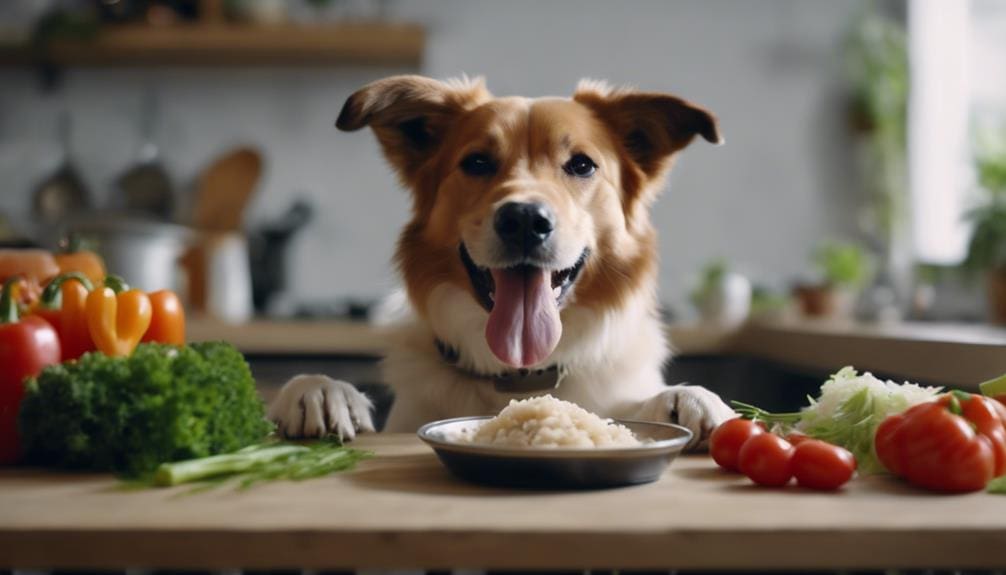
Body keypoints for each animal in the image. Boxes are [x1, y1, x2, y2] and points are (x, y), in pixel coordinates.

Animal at [267, 73, 736, 446]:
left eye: (582, 165)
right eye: (477, 162)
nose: (524, 220)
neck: (520, 373)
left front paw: (686, 398)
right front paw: (320, 390)